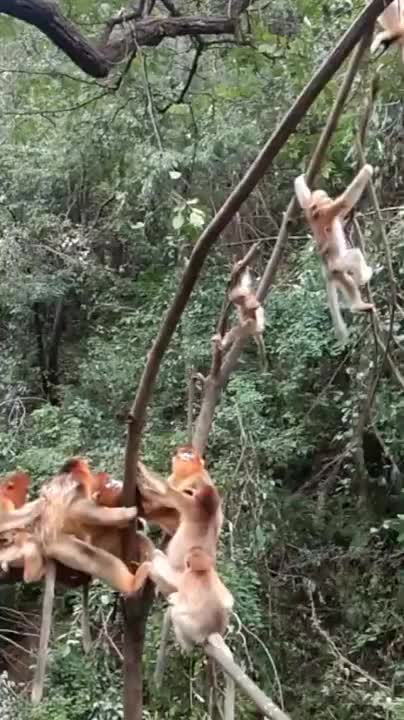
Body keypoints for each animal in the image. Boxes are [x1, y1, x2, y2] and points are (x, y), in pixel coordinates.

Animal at [294, 165, 374, 344]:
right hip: (338, 263)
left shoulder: (311, 209)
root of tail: (326, 269)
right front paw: (367, 170)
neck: (315, 212)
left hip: (336, 271)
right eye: (325, 197)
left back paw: (357, 305)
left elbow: (303, 199)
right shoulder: (328, 211)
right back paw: (363, 279)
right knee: (354, 256)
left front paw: (300, 179)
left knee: (346, 281)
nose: (328, 197)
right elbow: (345, 201)